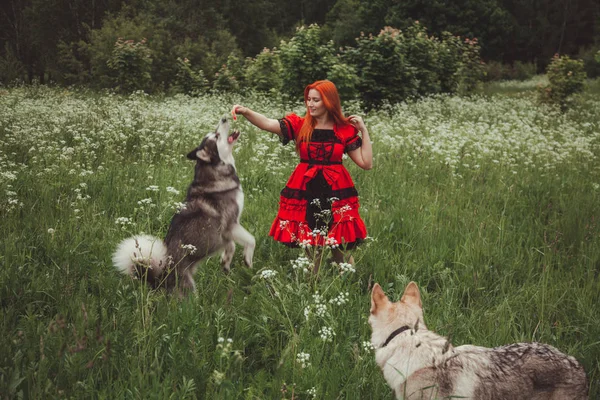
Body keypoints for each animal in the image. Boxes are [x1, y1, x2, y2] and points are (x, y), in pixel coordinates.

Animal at [113, 116, 255, 296]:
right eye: (216, 136)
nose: (224, 118)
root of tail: (157, 281)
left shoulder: (225, 233)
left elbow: (230, 245)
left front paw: (226, 261)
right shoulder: (231, 224)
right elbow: (251, 239)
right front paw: (248, 260)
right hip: (187, 288)